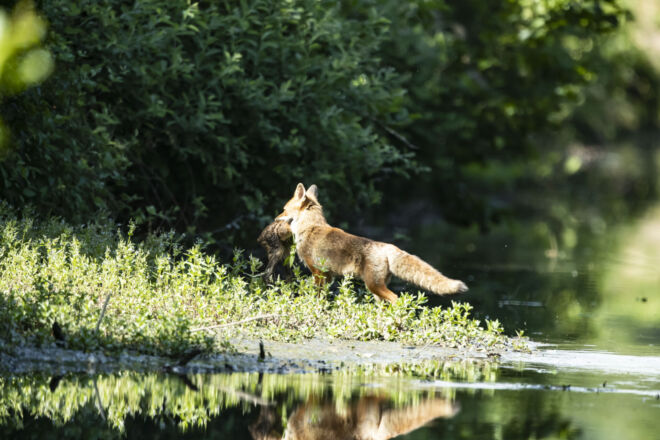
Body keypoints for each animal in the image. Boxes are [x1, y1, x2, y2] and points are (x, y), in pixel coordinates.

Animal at [276, 183, 468, 303]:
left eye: (284, 210)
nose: (276, 219)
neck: (311, 227)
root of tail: (389, 246)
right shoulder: (328, 275)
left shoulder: (318, 272)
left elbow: (317, 297)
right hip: (376, 290)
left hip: (373, 286)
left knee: (396, 300)